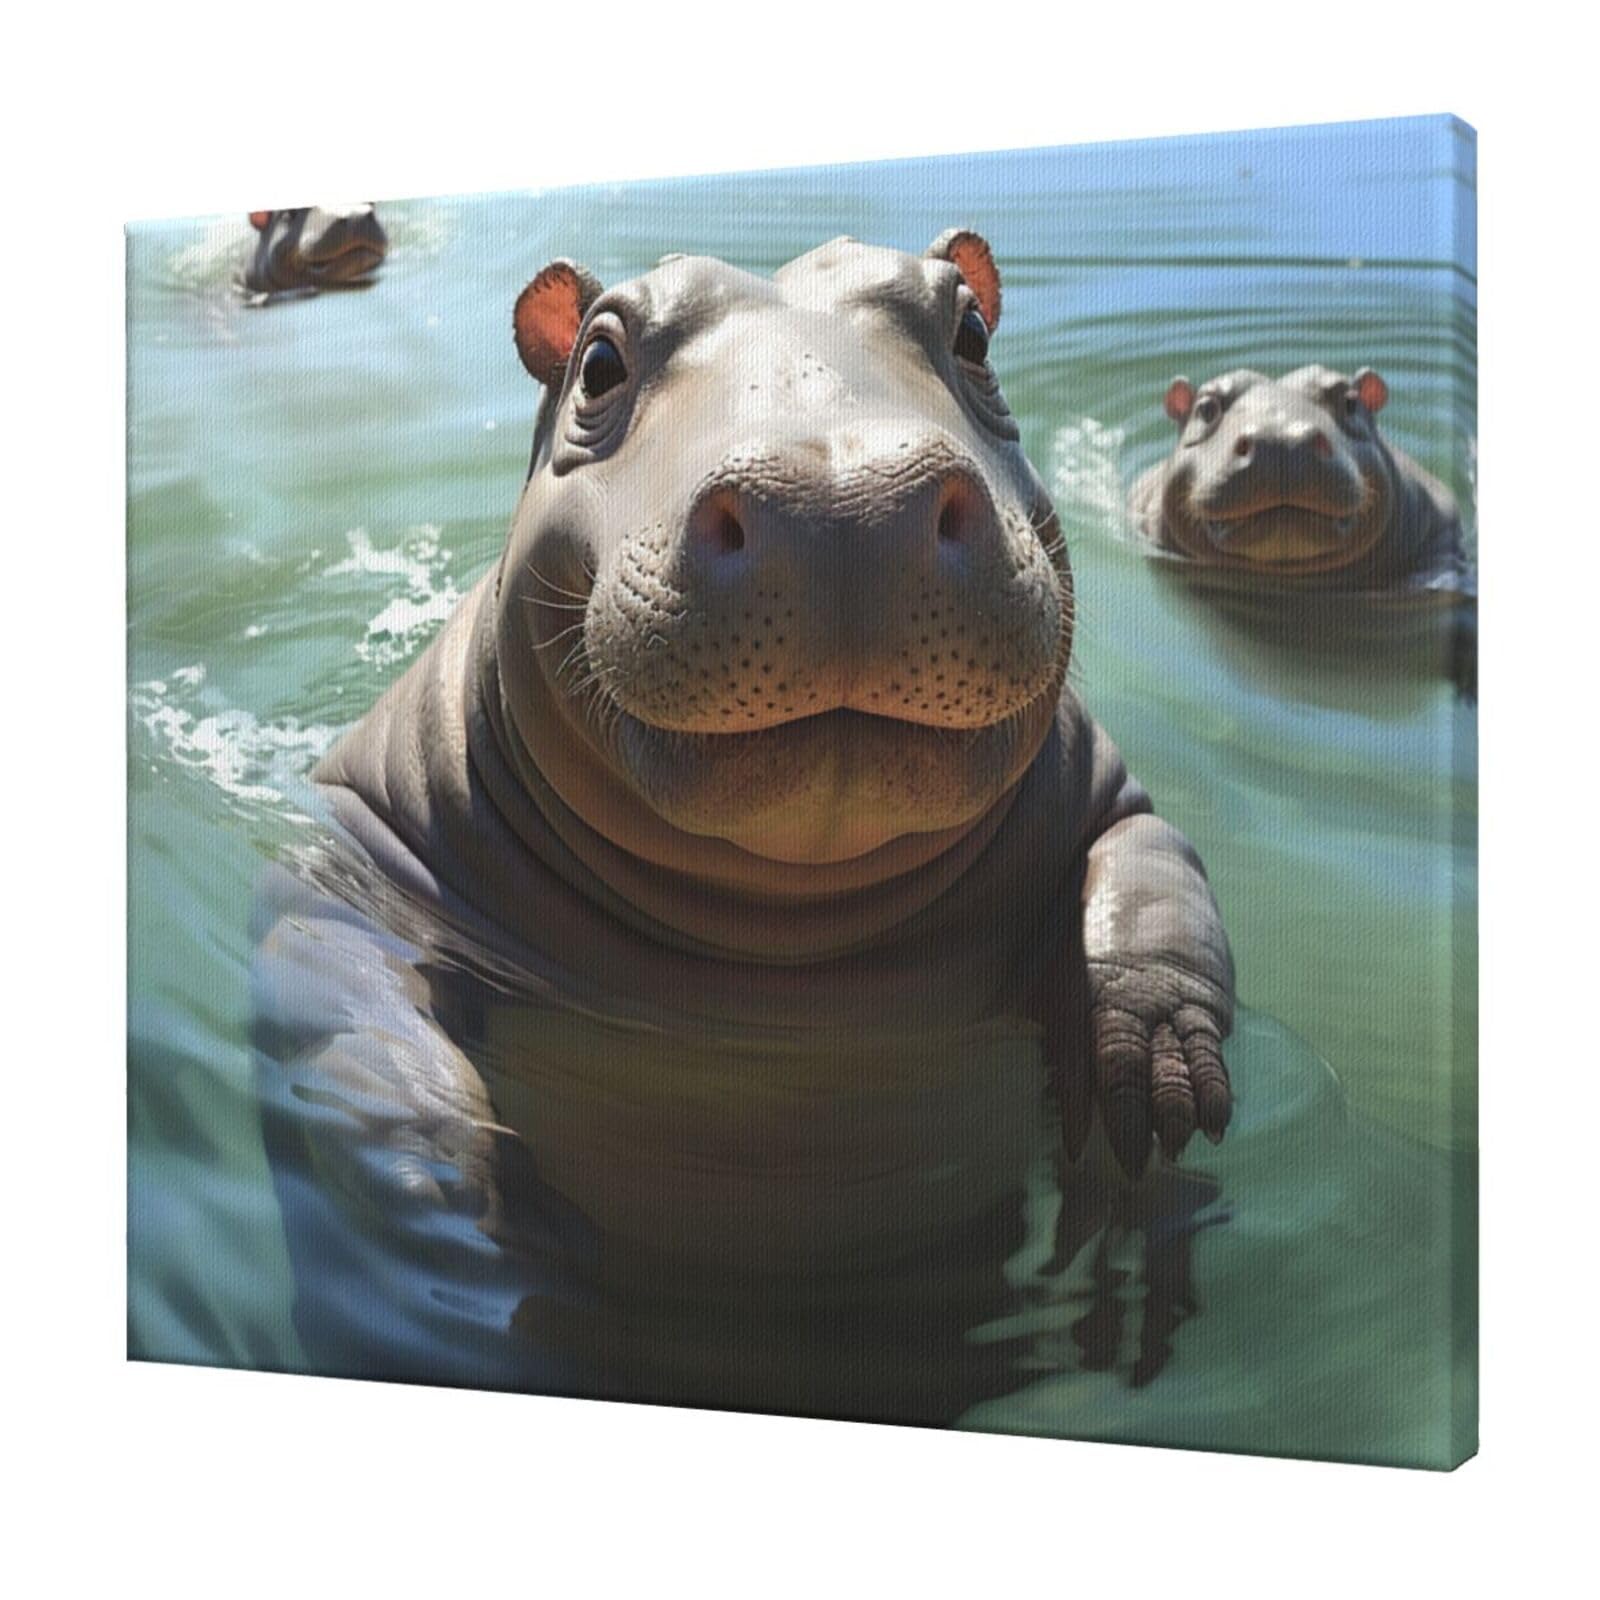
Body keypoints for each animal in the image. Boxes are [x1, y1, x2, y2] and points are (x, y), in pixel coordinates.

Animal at [252, 232, 1236, 1422]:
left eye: (971, 335)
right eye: (598, 364)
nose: (848, 502)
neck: (783, 941)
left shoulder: (1108, 795)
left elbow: (1151, 882)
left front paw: (1158, 1076)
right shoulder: (356, 850)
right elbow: (347, 1017)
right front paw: (457, 1189)